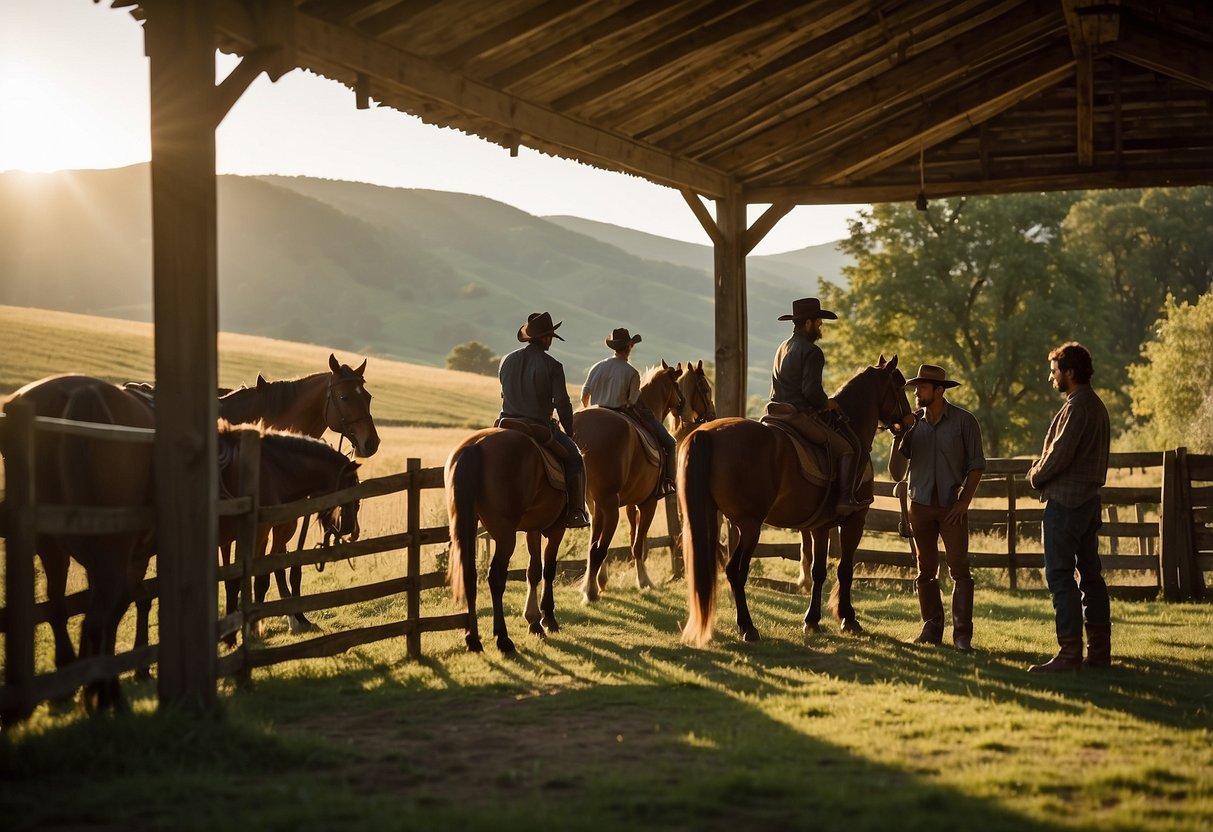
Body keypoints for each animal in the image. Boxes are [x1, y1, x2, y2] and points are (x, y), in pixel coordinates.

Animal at [448, 429, 570, 659]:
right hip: (505, 536)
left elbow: (534, 570)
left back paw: (473, 640)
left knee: (470, 574)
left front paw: (534, 622)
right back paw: (503, 639)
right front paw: (548, 618)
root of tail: (476, 445)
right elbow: (548, 570)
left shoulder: (533, 529)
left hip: (468, 526)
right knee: (496, 578)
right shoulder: (556, 530)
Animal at [570, 361, 684, 603]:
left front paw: (602, 581)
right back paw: (590, 592)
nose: (683, 404)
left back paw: (592, 587)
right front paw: (644, 581)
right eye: (677, 386)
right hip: (610, 505)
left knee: (594, 547)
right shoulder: (648, 503)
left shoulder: (617, 505)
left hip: (597, 505)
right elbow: (638, 544)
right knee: (598, 548)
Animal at [679, 354, 912, 650]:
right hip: (750, 526)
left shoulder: (820, 526)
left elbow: (818, 571)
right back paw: (748, 627)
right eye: (900, 385)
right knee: (735, 571)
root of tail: (708, 433)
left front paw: (812, 621)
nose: (910, 419)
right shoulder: (854, 521)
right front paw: (848, 618)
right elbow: (845, 570)